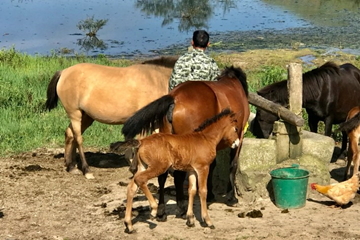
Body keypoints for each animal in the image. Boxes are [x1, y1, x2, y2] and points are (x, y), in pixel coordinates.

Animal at [45, 57, 177, 179]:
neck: (155, 79)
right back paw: (87, 170)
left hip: (86, 117)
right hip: (75, 114)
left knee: (69, 134)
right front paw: (135, 168)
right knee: (78, 139)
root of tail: (64, 72)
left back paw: (71, 166)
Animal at [111, 108, 243, 232]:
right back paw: (153, 209)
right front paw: (208, 221)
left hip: (143, 166)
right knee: (140, 179)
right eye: (236, 129)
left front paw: (190, 219)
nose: (236, 143)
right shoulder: (203, 168)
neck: (206, 139)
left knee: (132, 187)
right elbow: (203, 191)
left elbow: (192, 190)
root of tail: (141, 141)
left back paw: (129, 225)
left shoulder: (192, 170)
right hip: (158, 167)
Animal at [122, 66, 249, 220]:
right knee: (178, 175)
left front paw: (211, 194)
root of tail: (175, 97)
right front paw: (232, 197)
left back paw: (162, 210)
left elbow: (211, 165)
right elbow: (233, 164)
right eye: (235, 128)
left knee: (163, 175)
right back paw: (181, 208)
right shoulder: (239, 136)